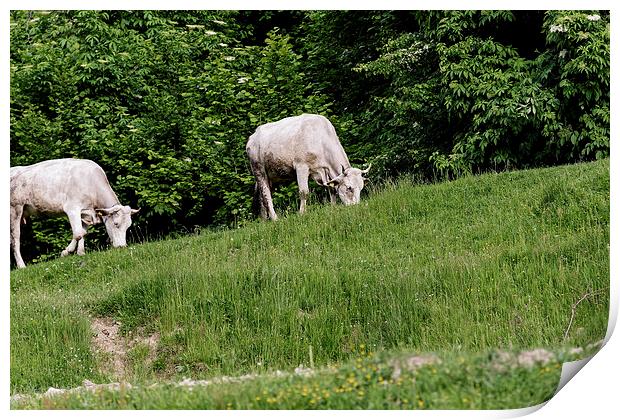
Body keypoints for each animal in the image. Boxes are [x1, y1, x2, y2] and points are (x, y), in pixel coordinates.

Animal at [10, 158, 139, 270]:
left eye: (128, 226)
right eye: (116, 224)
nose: (122, 247)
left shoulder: (86, 213)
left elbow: (83, 232)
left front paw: (81, 253)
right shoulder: (72, 209)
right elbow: (78, 234)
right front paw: (66, 252)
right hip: (15, 208)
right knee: (15, 238)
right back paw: (21, 265)